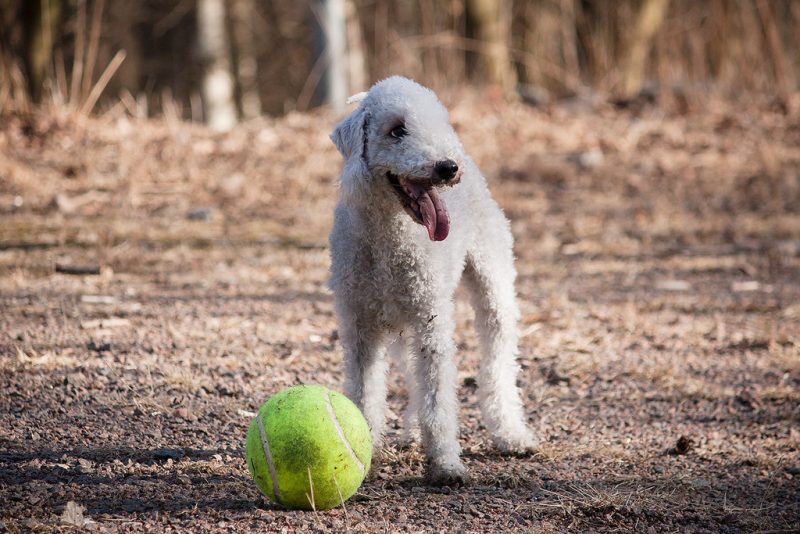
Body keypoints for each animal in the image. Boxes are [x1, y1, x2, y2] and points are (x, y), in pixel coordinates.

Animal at [324, 76, 536, 486]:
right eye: (396, 130)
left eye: (436, 122)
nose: (447, 167)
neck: (391, 235)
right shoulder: (360, 324)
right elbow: (365, 394)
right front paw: (364, 450)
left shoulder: (431, 319)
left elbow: (438, 402)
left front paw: (445, 466)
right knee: (411, 374)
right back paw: (409, 432)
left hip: (493, 286)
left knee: (498, 361)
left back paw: (511, 435)